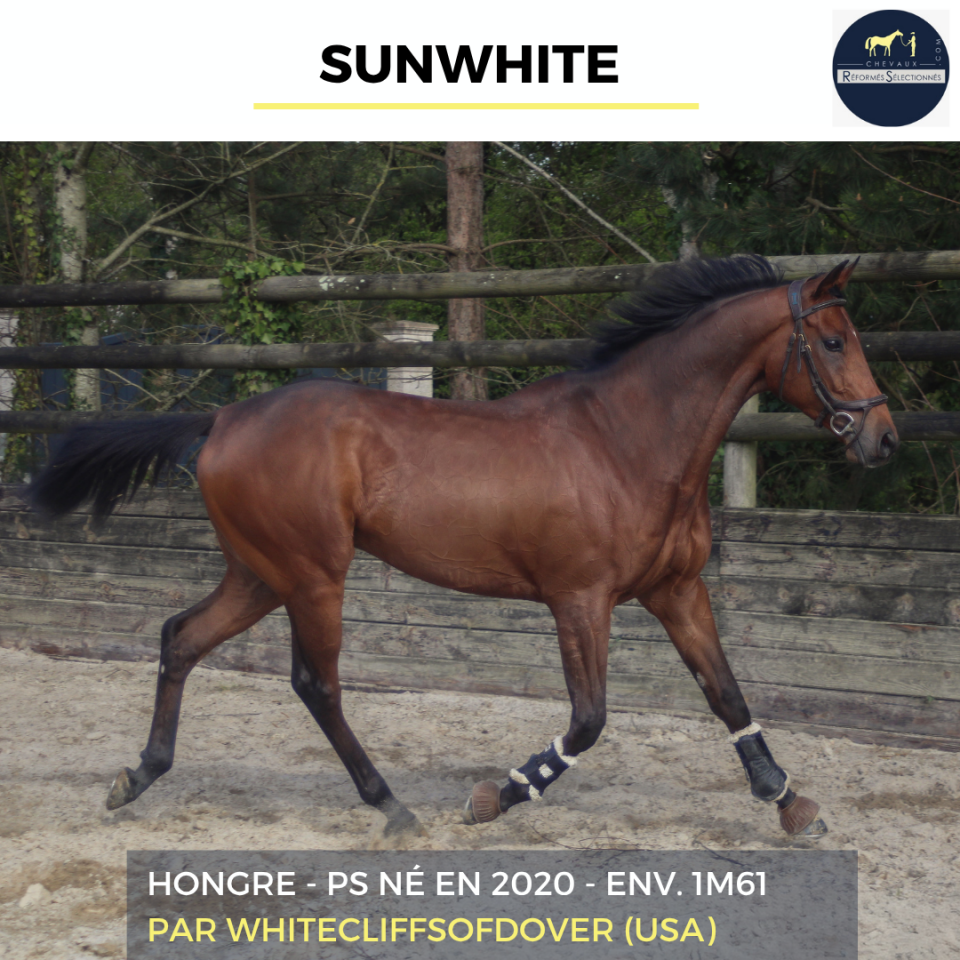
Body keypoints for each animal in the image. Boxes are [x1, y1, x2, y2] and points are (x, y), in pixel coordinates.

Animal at [29, 255, 898, 840]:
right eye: (830, 341)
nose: (884, 439)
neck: (625, 441)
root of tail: (222, 419)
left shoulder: (677, 591)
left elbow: (728, 696)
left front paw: (791, 803)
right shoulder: (579, 600)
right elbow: (589, 720)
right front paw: (494, 797)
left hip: (258, 574)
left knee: (180, 638)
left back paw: (136, 777)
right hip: (311, 575)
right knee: (316, 683)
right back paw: (392, 806)